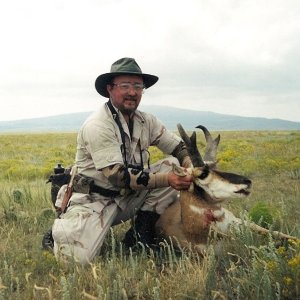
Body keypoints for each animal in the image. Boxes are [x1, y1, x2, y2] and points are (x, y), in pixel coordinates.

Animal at [156, 123, 296, 253]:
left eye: (216, 168)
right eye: (203, 174)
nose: (247, 181)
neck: (189, 229)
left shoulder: (243, 223)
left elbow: (278, 233)